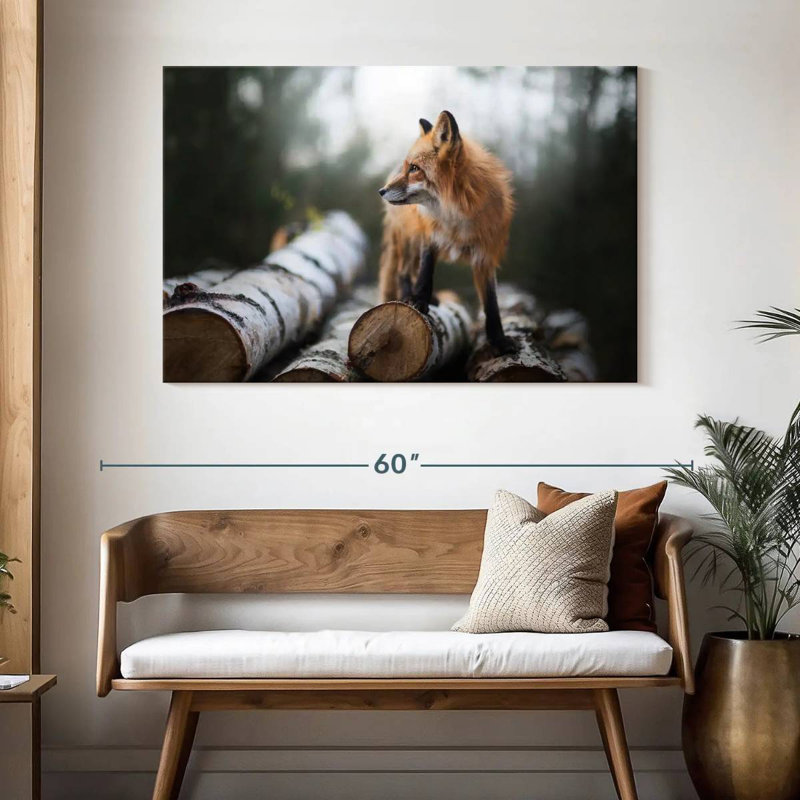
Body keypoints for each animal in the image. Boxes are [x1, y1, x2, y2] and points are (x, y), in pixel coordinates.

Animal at [378, 110, 516, 354]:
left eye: (414, 169)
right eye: (407, 167)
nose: (381, 191)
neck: (456, 217)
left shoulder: (485, 255)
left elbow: (491, 303)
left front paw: (498, 340)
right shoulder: (430, 237)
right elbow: (425, 273)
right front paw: (418, 301)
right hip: (409, 240)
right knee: (404, 272)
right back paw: (407, 296)